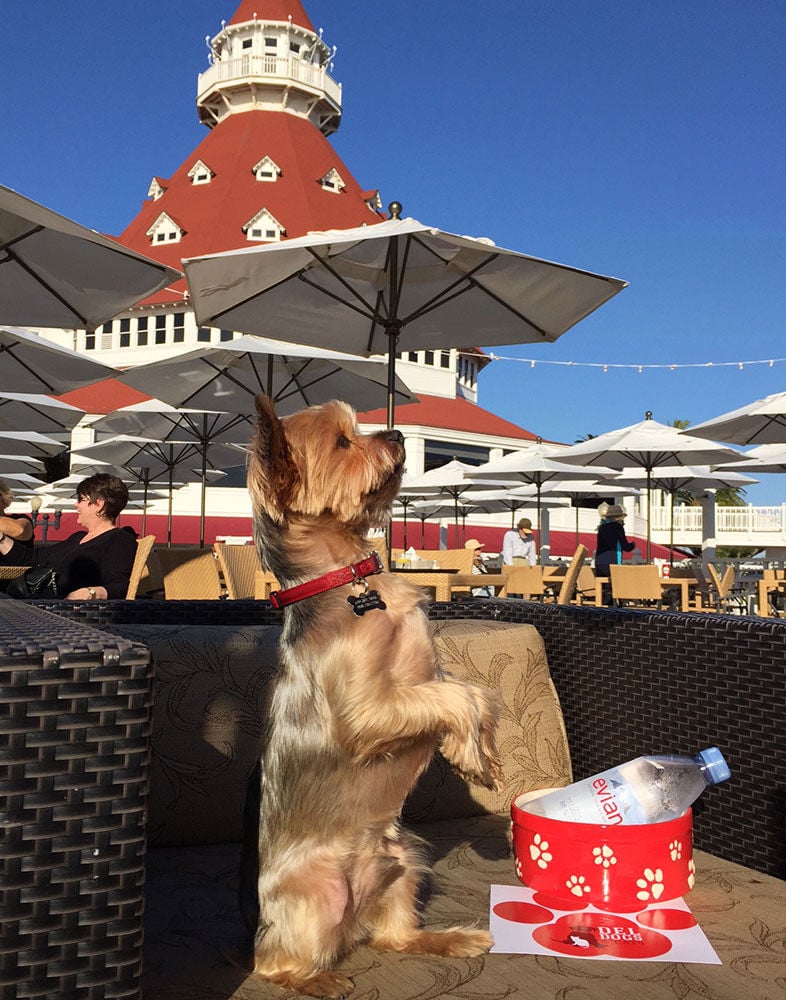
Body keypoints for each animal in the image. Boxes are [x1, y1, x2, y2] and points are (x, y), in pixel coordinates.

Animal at [245, 394, 502, 996]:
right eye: (344, 442)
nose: (397, 433)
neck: (352, 581)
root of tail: (353, 924)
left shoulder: (432, 672)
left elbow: (470, 693)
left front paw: (479, 755)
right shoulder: (365, 713)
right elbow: (457, 699)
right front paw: (471, 758)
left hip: (404, 858)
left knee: (396, 937)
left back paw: (449, 939)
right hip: (312, 898)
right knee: (271, 962)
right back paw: (317, 980)